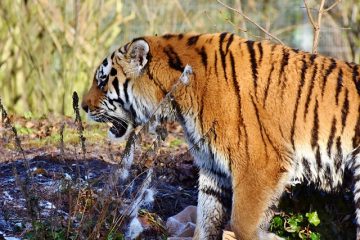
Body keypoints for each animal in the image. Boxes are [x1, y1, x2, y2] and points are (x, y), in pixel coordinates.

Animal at [81, 32, 360, 240]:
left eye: (102, 81)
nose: (82, 106)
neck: (179, 99)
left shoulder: (258, 167)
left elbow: (243, 225)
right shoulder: (212, 167)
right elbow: (206, 220)